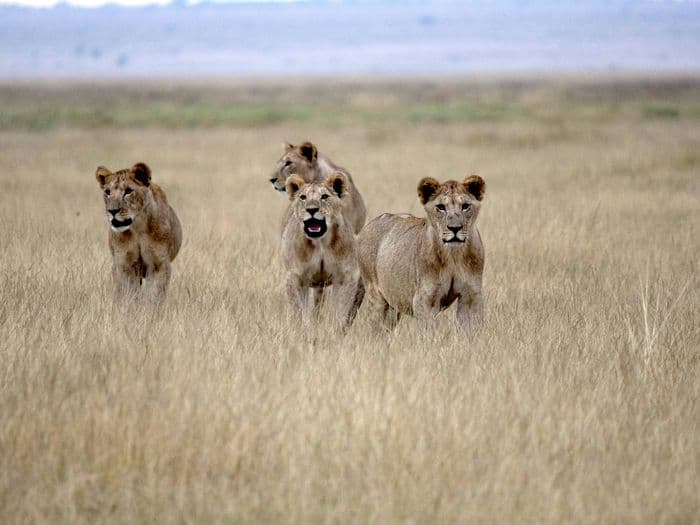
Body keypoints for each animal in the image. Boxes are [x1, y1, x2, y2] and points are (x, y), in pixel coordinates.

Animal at [95, 162, 182, 302]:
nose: (112, 211)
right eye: (107, 192)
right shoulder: (123, 264)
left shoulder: (159, 264)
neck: (137, 228)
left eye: (128, 191)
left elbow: (154, 295)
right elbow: (128, 293)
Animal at [282, 171, 364, 329]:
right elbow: (299, 311)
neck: (320, 243)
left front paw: (336, 329)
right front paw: (302, 329)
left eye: (324, 196)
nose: (311, 209)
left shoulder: (346, 276)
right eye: (303, 197)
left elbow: (341, 310)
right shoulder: (295, 277)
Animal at [357, 175, 486, 333]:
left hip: (393, 305)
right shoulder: (425, 299)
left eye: (465, 206)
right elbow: (430, 331)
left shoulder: (471, 296)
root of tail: (369, 224)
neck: (453, 255)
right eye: (441, 207)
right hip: (376, 297)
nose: (455, 228)